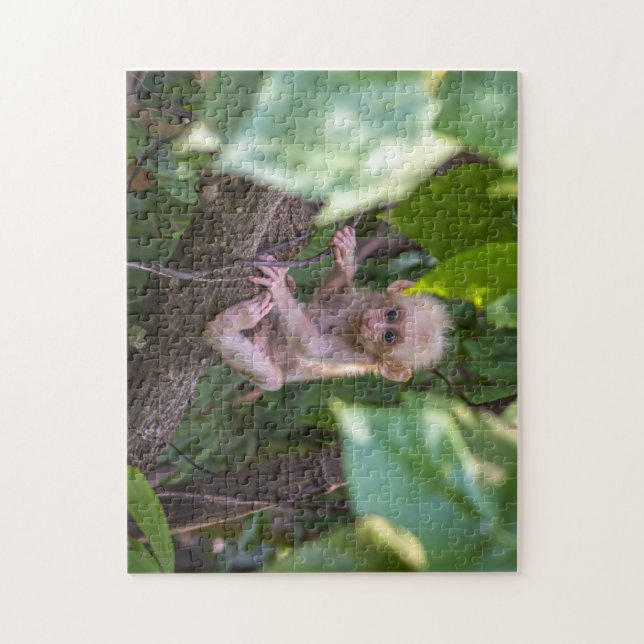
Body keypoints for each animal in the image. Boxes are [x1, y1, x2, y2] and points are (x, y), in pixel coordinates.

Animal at [204, 226, 449, 392]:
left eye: (389, 337)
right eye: (391, 314)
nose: (372, 324)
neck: (354, 325)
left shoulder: (359, 355)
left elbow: (313, 346)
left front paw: (279, 286)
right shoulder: (362, 301)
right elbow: (328, 294)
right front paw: (347, 255)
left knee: (274, 380)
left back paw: (226, 328)